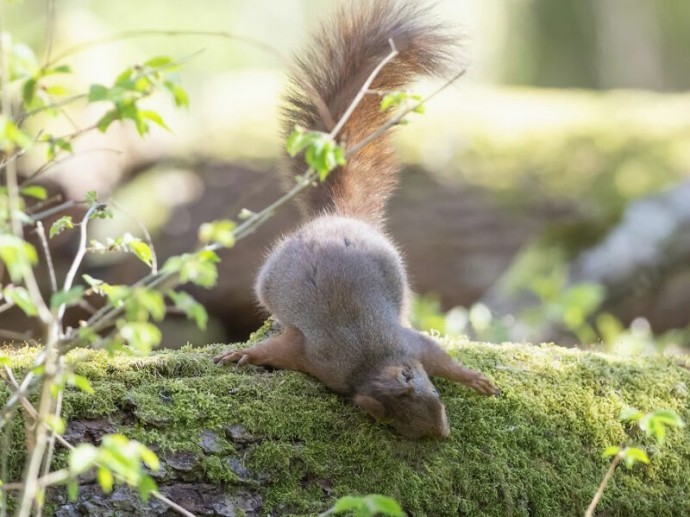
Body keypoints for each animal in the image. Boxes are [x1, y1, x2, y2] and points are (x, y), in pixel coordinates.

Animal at [212, 0, 498, 438]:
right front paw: (243, 355)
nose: (443, 433)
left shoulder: (407, 343)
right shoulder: (317, 358)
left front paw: (472, 378)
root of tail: (336, 217)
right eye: (405, 428)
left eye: (435, 397)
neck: (371, 362)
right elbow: (277, 349)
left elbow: (440, 355)